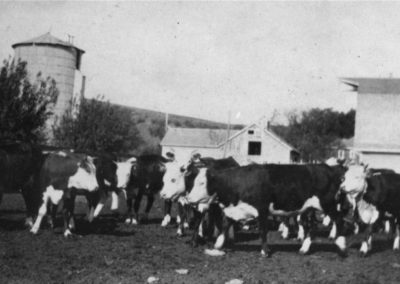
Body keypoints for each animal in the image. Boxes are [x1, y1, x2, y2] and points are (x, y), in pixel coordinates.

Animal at [188, 162, 346, 258]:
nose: (189, 198)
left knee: (339, 219)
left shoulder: (262, 209)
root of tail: (329, 169)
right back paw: (304, 248)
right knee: (311, 226)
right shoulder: (234, 210)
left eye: (202, 183)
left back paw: (341, 244)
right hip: (309, 208)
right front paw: (218, 245)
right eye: (194, 182)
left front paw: (264, 251)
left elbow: (262, 231)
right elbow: (225, 226)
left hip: (328, 204)